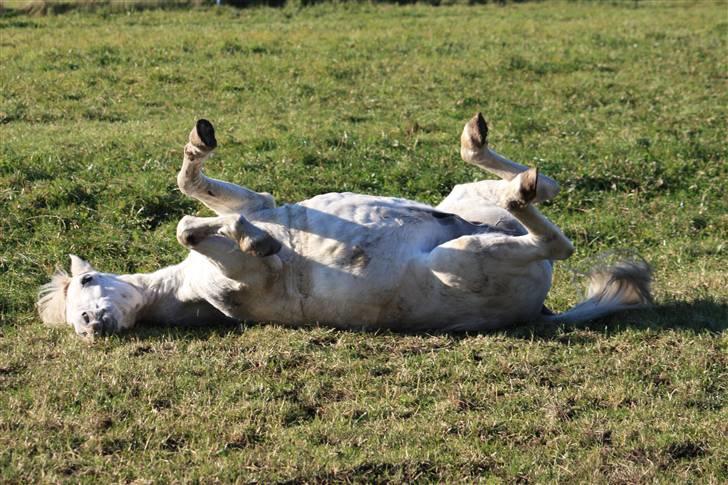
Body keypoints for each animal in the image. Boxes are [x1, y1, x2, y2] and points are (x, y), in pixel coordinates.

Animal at [37, 115, 652, 338]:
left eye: (88, 282)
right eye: (73, 322)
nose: (91, 325)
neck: (188, 290)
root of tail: (540, 307)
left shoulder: (258, 200)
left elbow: (194, 198)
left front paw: (203, 152)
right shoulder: (239, 280)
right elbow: (194, 227)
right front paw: (256, 240)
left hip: (469, 203)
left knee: (543, 189)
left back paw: (483, 145)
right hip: (466, 257)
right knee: (555, 239)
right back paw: (516, 186)